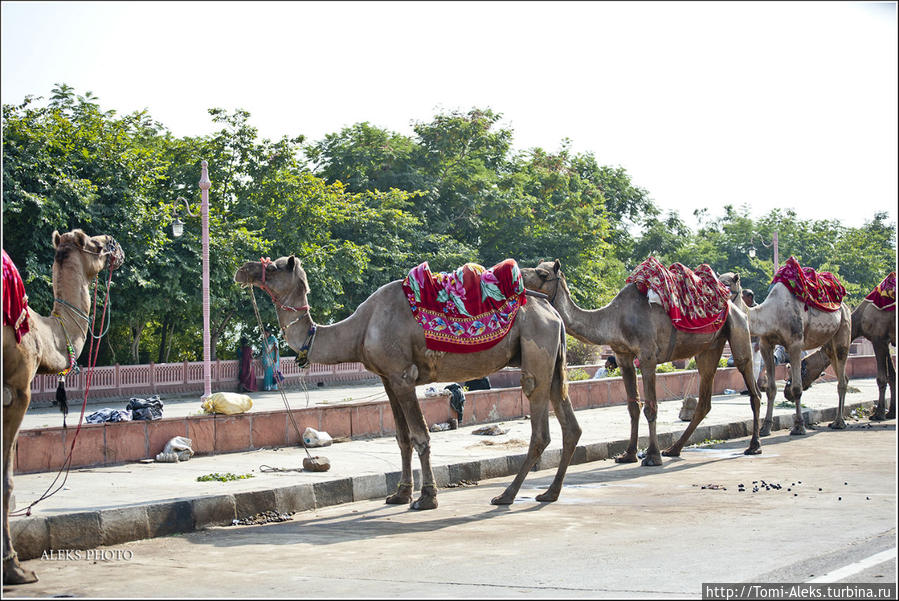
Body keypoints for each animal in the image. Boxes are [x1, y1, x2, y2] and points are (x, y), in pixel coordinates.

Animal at [2, 227, 125, 584]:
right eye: (96, 245)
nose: (116, 246)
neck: (46, 333)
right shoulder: (18, 389)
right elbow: (7, 480)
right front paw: (15, 568)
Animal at [234, 255, 584, 508]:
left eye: (273, 266)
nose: (242, 270)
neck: (361, 328)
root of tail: (552, 312)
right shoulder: (388, 378)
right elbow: (401, 438)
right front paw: (400, 494)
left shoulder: (403, 376)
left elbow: (420, 436)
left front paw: (427, 498)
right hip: (554, 363)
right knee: (571, 425)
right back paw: (549, 493)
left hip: (536, 354)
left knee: (540, 428)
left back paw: (506, 495)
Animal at [524, 258, 764, 464]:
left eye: (543, 274)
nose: (521, 278)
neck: (615, 319)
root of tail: (733, 305)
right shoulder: (623, 357)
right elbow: (633, 406)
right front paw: (628, 454)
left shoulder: (648, 357)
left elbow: (651, 407)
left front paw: (651, 456)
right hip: (710, 347)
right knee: (705, 394)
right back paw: (674, 449)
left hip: (739, 329)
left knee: (751, 384)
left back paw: (754, 446)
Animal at [716, 272, 852, 436]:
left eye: (727, 285)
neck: (771, 315)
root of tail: (845, 306)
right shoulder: (766, 345)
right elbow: (771, 389)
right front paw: (765, 428)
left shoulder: (795, 345)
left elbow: (797, 388)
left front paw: (799, 427)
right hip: (828, 342)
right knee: (840, 371)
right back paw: (837, 420)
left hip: (843, 329)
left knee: (842, 372)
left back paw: (839, 422)